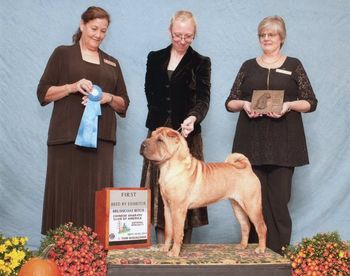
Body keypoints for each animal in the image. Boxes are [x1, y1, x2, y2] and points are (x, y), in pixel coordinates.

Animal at [139, 127, 266, 256]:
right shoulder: (168, 207)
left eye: (160, 140)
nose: (142, 144)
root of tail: (247, 168)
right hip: (237, 206)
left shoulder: (178, 209)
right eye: (151, 135)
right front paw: (165, 248)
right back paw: (242, 246)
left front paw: (174, 253)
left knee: (261, 227)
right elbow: (169, 231)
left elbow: (178, 232)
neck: (168, 167)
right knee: (245, 225)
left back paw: (261, 249)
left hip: (252, 205)